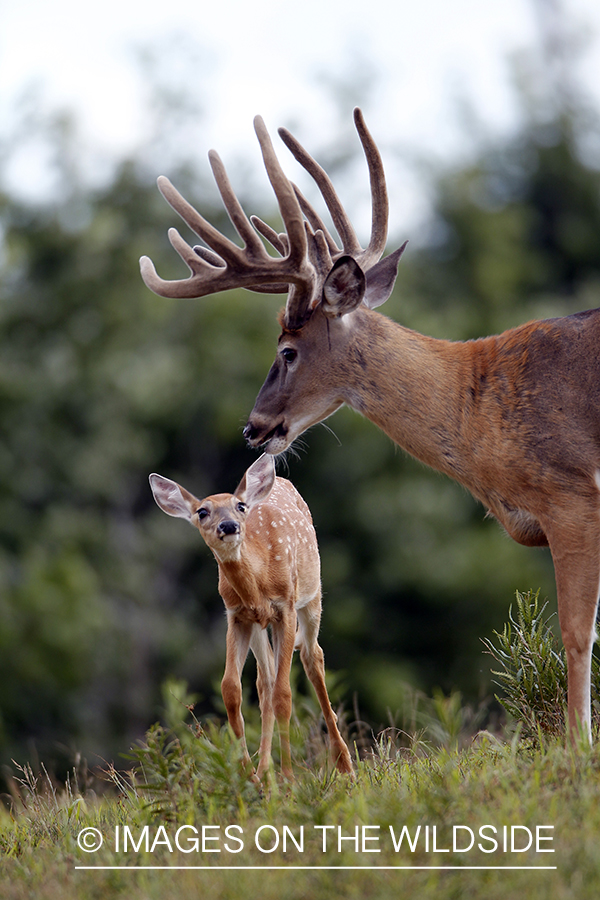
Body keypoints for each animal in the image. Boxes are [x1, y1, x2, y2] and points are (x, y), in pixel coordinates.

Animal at [142, 109, 600, 740]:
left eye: (287, 350)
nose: (254, 428)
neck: (482, 404)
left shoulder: (570, 493)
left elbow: (577, 634)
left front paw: (577, 748)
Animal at [150, 458, 354, 780]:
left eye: (240, 506)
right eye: (202, 511)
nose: (229, 526)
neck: (259, 582)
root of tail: (281, 479)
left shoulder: (286, 607)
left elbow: (284, 695)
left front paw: (287, 778)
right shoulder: (236, 616)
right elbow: (231, 690)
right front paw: (249, 774)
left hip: (312, 597)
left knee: (312, 657)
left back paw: (343, 764)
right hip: (261, 626)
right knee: (265, 680)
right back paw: (264, 770)